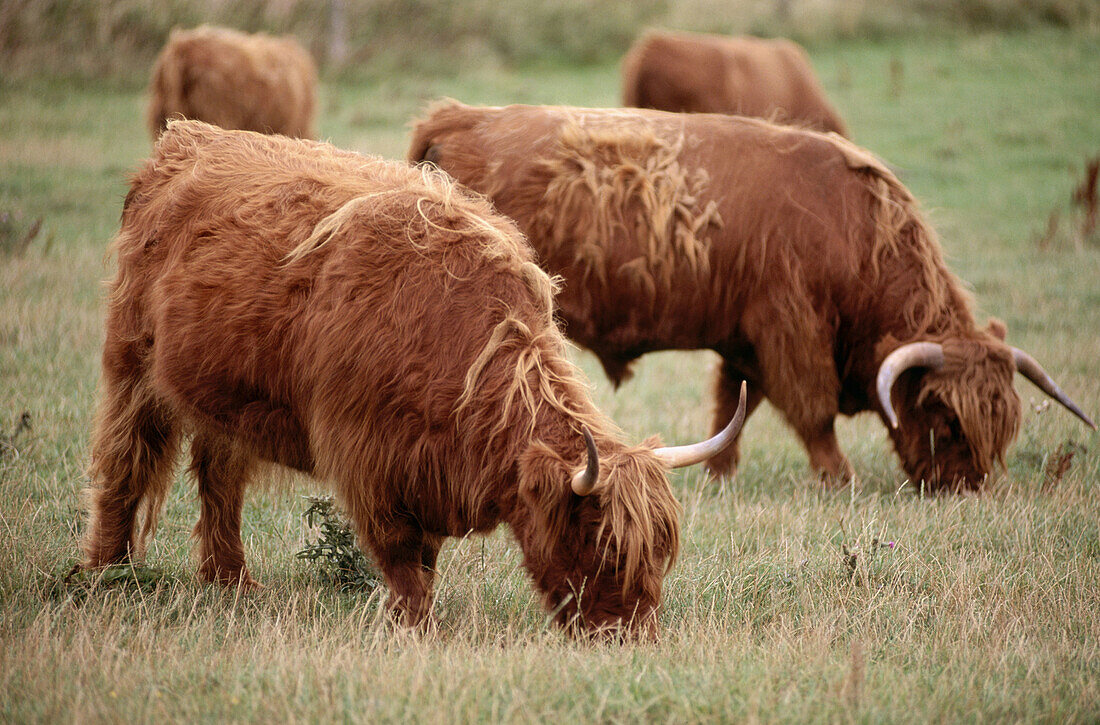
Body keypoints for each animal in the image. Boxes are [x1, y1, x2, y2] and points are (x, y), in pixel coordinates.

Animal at [79, 120, 748, 642]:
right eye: (603, 546)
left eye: (659, 554)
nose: (629, 638)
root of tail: (187, 138)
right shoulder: (370, 460)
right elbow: (403, 558)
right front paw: (416, 628)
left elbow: (425, 557)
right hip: (132, 367)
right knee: (124, 466)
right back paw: (108, 575)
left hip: (227, 397)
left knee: (220, 479)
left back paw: (232, 582)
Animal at [409, 102, 1095, 492]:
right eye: (947, 417)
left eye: (1002, 425)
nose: (966, 487)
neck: (854, 232)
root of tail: (457, 115)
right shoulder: (791, 329)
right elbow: (811, 410)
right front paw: (839, 480)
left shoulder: (743, 339)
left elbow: (731, 405)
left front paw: (718, 475)